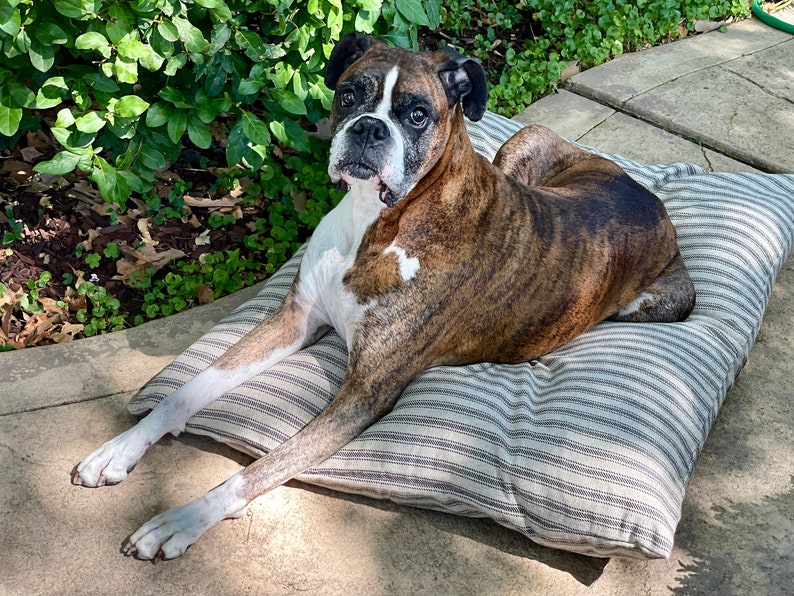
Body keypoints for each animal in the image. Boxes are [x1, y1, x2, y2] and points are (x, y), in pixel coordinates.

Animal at [72, 32, 692, 560]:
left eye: (417, 114)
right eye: (350, 94)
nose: (369, 129)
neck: (378, 219)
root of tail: (648, 195)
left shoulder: (364, 394)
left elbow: (263, 466)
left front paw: (181, 520)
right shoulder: (294, 321)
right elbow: (186, 391)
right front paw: (120, 448)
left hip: (666, 302)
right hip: (524, 142)